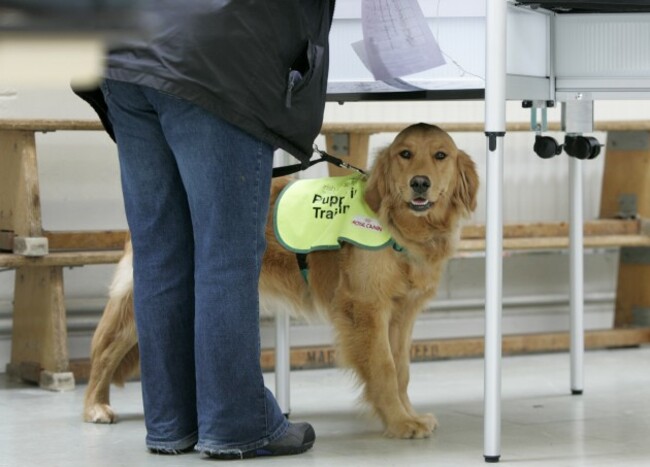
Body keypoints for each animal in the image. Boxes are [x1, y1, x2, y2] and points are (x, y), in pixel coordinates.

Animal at [82, 123, 476, 438]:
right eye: (405, 154)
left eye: (440, 155)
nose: (419, 183)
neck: (400, 225)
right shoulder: (366, 309)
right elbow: (384, 368)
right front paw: (399, 423)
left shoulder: (402, 313)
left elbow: (403, 370)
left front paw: (410, 414)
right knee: (103, 350)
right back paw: (94, 406)